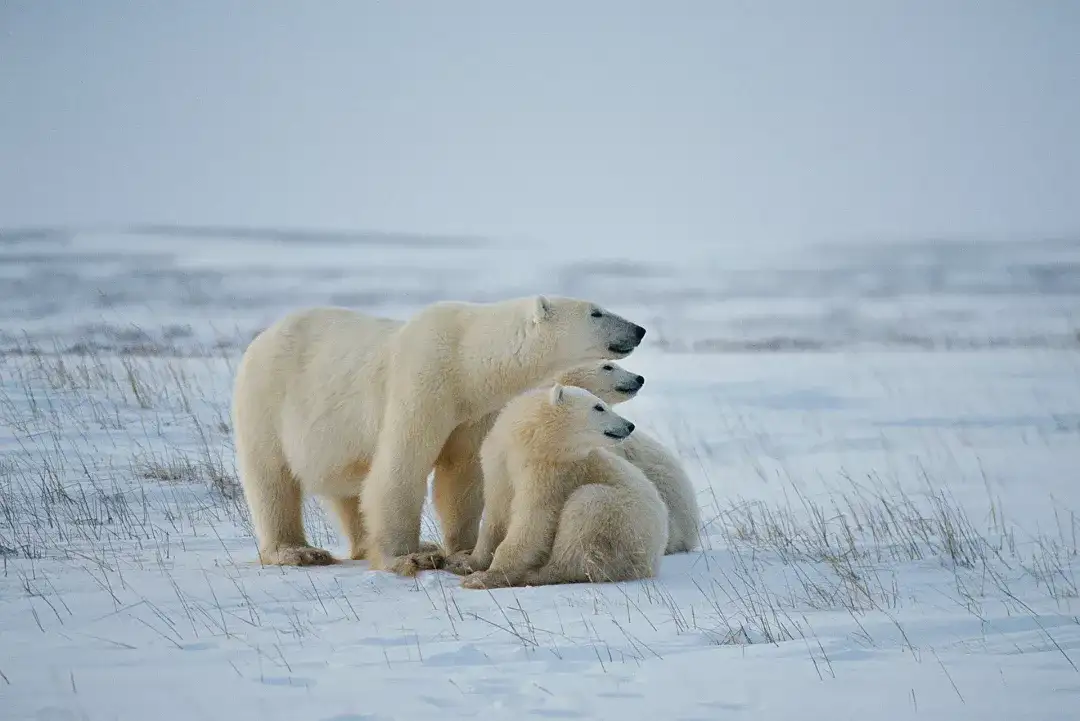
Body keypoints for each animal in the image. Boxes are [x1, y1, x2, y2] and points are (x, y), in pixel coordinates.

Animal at [231, 293, 643, 574]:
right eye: (596, 311)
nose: (638, 329)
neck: (465, 358)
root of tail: (261, 337)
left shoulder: (473, 412)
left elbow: (461, 474)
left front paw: (460, 551)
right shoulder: (423, 380)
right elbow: (400, 466)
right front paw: (409, 556)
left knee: (349, 489)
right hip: (266, 401)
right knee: (271, 479)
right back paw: (297, 551)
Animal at [460, 386, 669, 587]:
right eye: (599, 407)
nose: (629, 425)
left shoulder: (551, 474)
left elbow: (534, 519)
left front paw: (484, 577)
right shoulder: (498, 463)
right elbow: (495, 513)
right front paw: (465, 562)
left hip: (623, 523)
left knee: (582, 520)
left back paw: (534, 574)